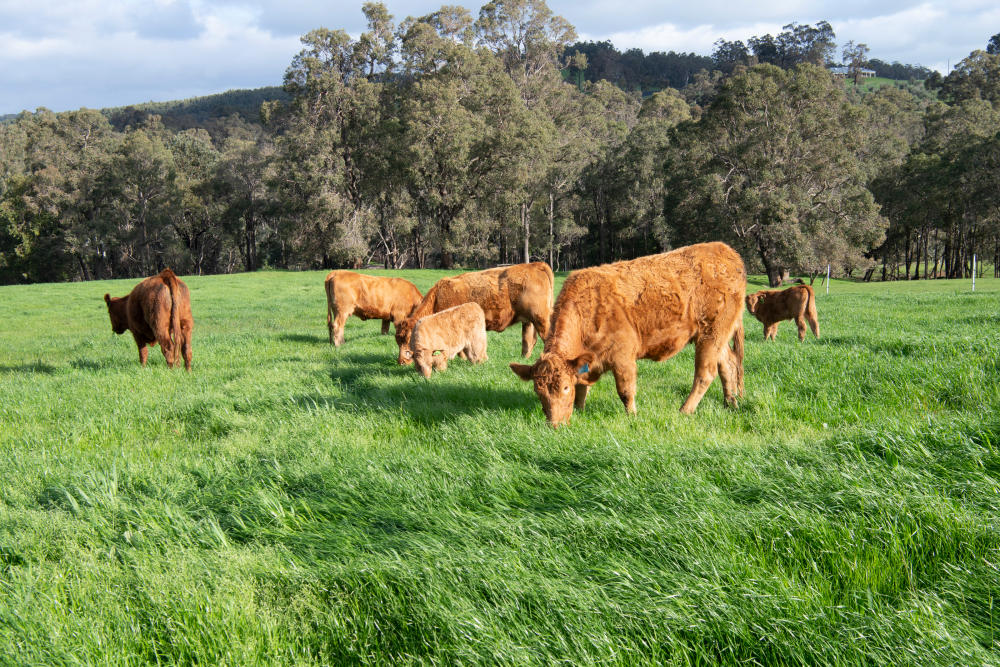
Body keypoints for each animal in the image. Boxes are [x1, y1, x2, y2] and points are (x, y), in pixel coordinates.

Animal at [394, 262, 554, 365]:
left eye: (408, 338)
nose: (401, 361)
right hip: (529, 321)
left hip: (541, 318)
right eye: (398, 340)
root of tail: (535, 265)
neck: (437, 298)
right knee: (528, 341)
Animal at [509, 242, 745, 427]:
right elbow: (583, 387)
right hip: (717, 336)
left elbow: (625, 390)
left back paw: (685, 410)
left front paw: (632, 416)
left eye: (565, 388)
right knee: (727, 365)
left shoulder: (623, 357)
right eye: (539, 392)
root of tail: (726, 251)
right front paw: (579, 411)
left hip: (711, 334)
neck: (588, 308)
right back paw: (730, 403)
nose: (554, 424)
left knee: (705, 373)